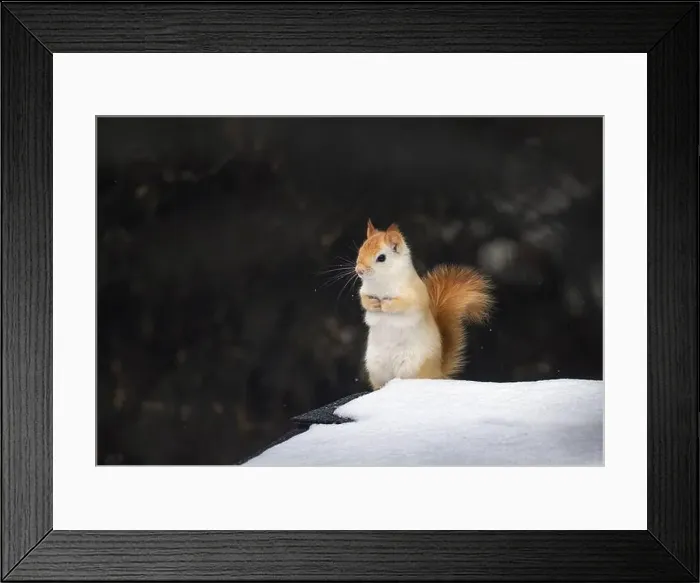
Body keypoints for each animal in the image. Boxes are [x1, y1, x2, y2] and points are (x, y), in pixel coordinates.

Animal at [356, 219, 494, 390]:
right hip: (376, 368)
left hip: (413, 365)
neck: (381, 282)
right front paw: (373, 304)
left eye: (381, 258)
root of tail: (437, 373)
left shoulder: (414, 294)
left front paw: (386, 306)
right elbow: (363, 299)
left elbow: (404, 304)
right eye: (361, 249)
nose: (359, 270)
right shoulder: (364, 290)